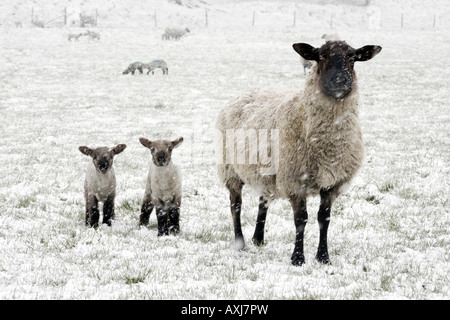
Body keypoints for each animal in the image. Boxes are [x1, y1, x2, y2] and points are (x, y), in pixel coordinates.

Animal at [214, 39, 380, 264]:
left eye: (352, 57)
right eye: (321, 56)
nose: (341, 80)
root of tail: (245, 91)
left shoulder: (332, 184)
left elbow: (324, 218)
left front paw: (323, 257)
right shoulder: (295, 181)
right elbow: (301, 219)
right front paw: (298, 258)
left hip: (266, 171)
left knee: (263, 202)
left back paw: (258, 238)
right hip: (230, 169)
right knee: (235, 206)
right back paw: (240, 243)